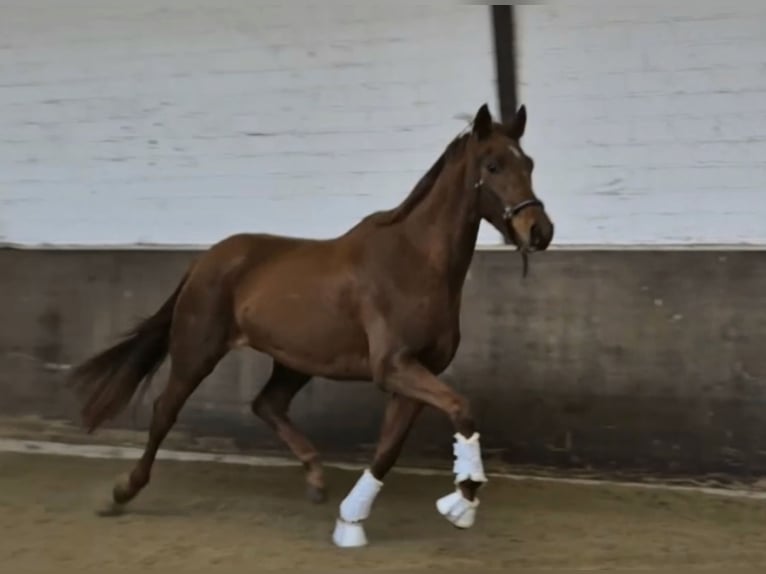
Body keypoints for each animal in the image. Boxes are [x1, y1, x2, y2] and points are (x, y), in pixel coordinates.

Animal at [69, 103, 556, 548]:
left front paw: (350, 522)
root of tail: (205, 260)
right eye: (493, 165)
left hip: (295, 361)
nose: (540, 231)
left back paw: (316, 479)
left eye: (529, 163)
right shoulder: (394, 367)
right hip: (197, 350)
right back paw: (121, 491)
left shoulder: (415, 376)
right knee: (165, 411)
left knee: (266, 404)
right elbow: (462, 410)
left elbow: (388, 450)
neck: (414, 261)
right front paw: (463, 502)